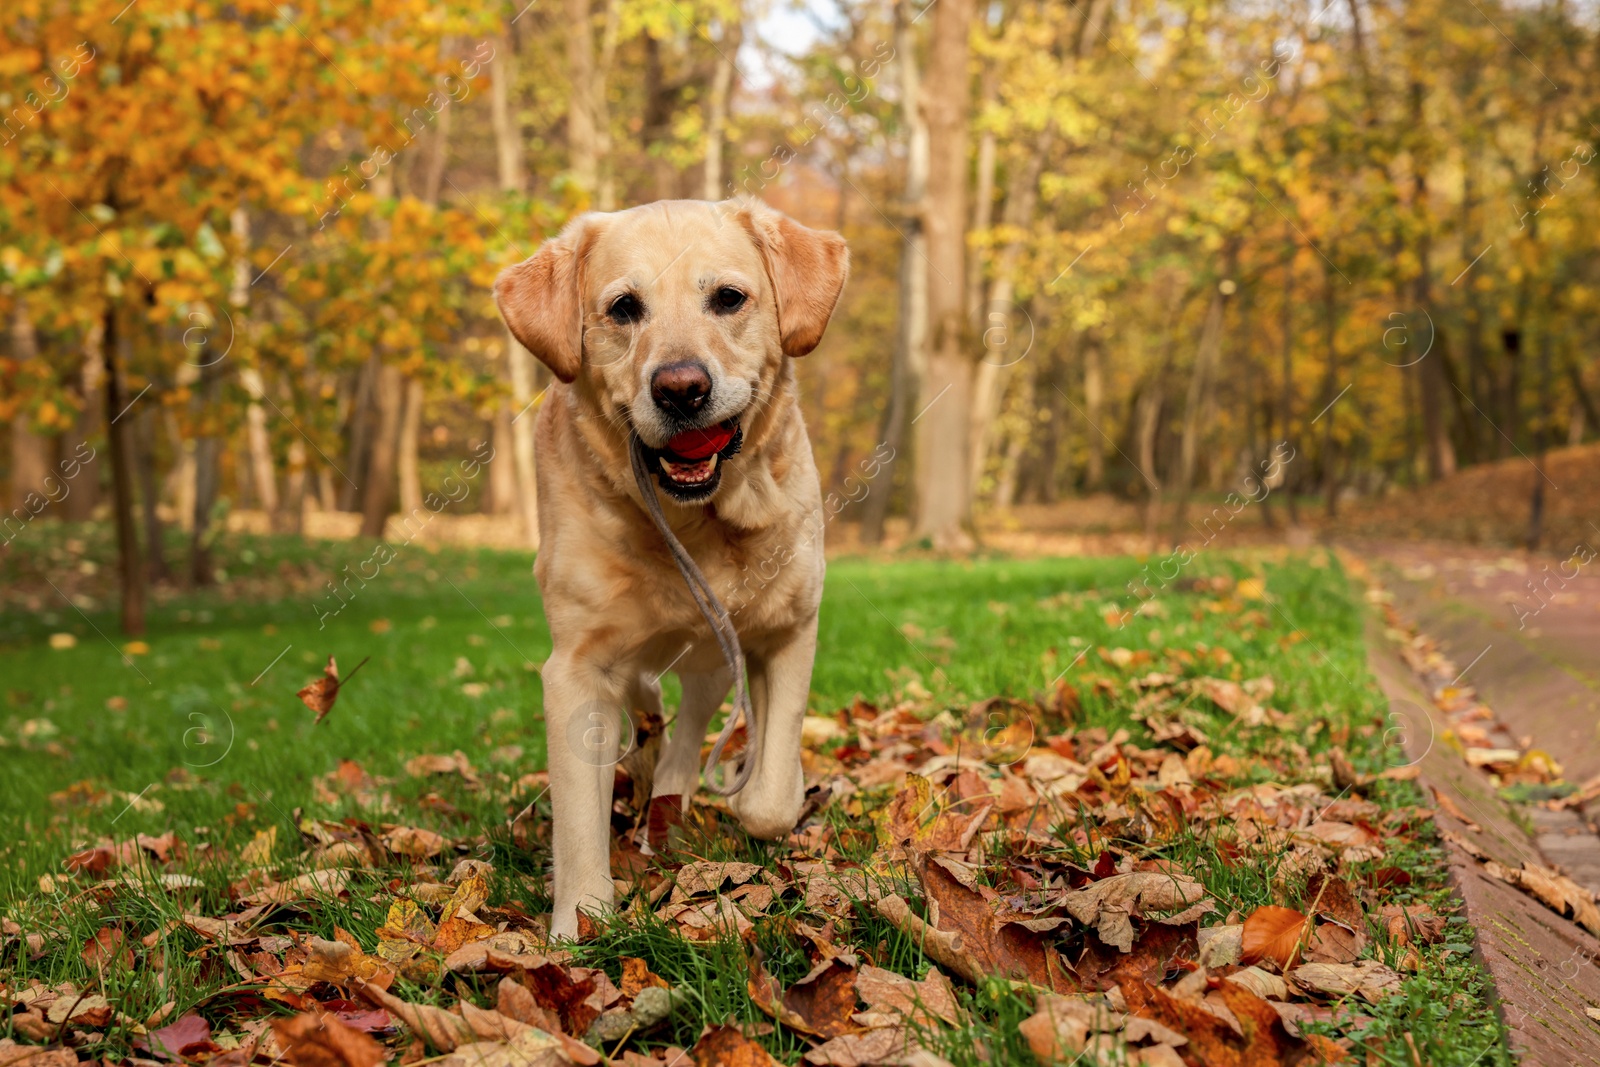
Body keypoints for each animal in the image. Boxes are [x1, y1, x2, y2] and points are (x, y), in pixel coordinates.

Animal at [492, 198, 851, 934]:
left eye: (729, 298)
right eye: (624, 308)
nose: (681, 388)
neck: (697, 520)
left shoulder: (788, 631)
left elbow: (770, 794)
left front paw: (760, 795)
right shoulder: (575, 668)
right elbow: (578, 816)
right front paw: (580, 923)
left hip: (714, 660)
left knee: (685, 735)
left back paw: (668, 803)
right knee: (648, 707)